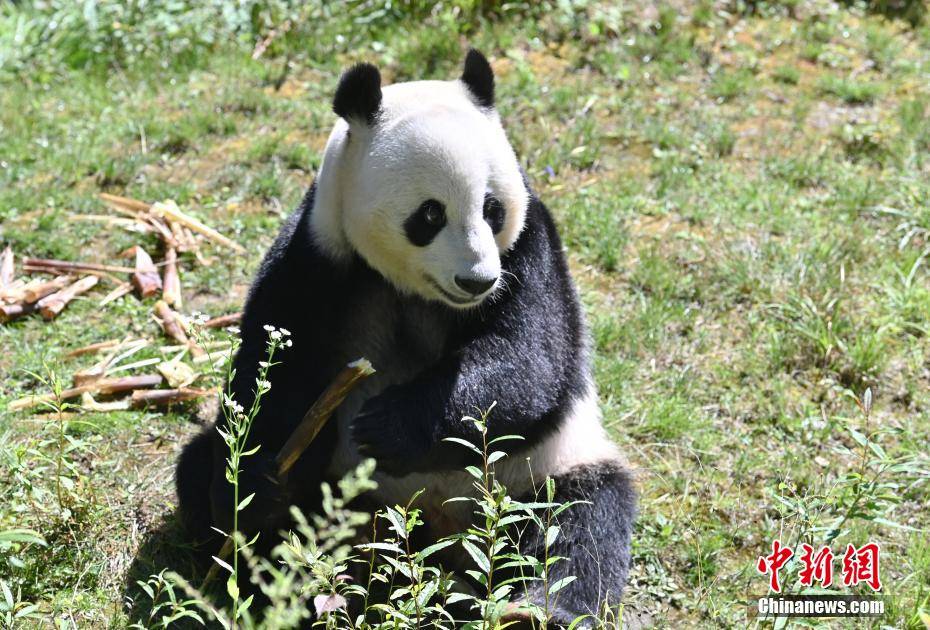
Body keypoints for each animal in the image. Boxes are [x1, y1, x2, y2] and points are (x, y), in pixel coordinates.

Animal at [176, 48, 632, 628]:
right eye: (430, 213)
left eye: (493, 209)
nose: (477, 280)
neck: (419, 291)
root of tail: (434, 535)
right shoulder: (318, 250)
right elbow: (274, 370)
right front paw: (259, 489)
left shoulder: (530, 248)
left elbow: (531, 360)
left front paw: (386, 427)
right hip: (342, 492)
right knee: (201, 469)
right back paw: (280, 571)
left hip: (539, 470)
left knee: (580, 522)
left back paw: (537, 610)